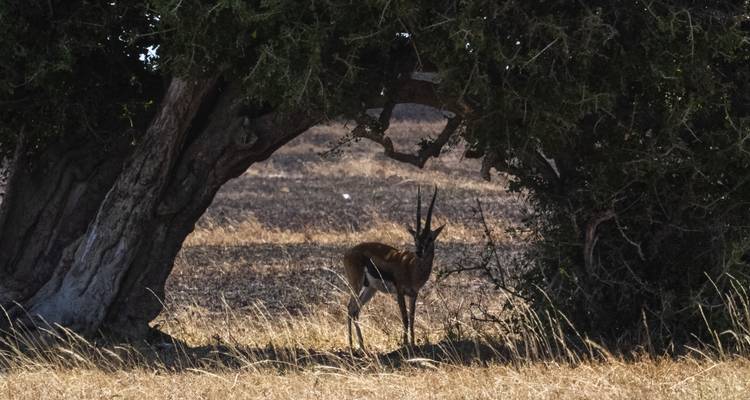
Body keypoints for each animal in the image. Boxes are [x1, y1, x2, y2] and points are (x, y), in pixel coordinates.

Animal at [343, 187, 444, 350]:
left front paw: (413, 344)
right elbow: (405, 318)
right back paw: (355, 347)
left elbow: (412, 318)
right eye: (416, 238)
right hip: (356, 284)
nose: (419, 251)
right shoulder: (399, 292)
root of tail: (349, 252)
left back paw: (360, 346)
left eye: (429, 238)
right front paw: (405, 345)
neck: (411, 267)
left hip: (371, 288)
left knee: (355, 309)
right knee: (351, 307)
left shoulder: (414, 294)